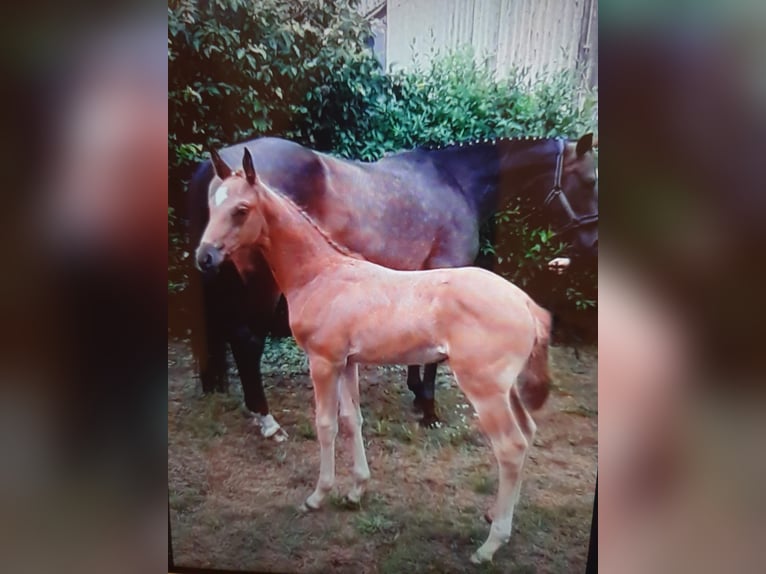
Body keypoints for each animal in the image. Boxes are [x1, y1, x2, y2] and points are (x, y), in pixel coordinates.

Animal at [186, 134, 597, 435]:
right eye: (591, 179)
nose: (592, 241)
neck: (457, 182)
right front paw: (429, 409)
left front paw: (417, 394)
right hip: (261, 286)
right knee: (247, 340)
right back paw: (267, 420)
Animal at [196, 148, 554, 564]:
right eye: (211, 204)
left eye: (241, 210)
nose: (204, 257)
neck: (321, 273)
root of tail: (527, 304)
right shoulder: (347, 362)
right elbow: (353, 421)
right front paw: (356, 491)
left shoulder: (323, 362)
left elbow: (325, 425)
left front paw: (318, 495)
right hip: (507, 389)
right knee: (527, 434)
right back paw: (495, 517)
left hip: (485, 390)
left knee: (510, 447)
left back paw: (490, 544)